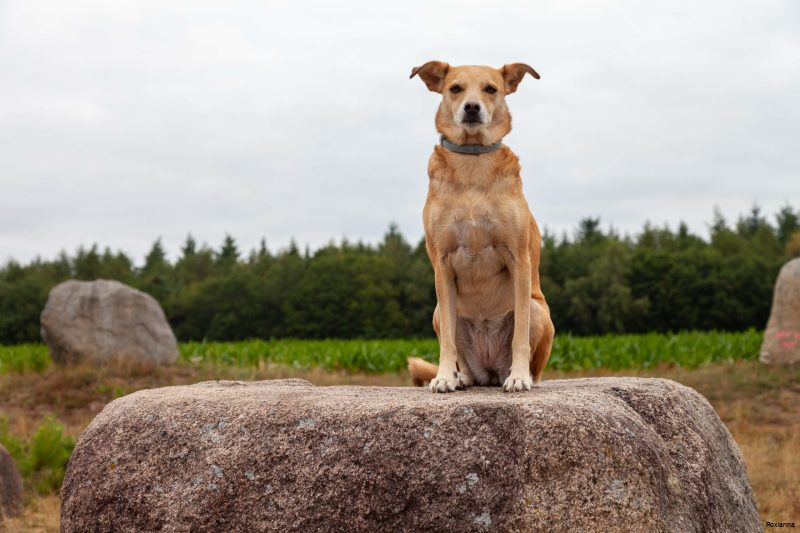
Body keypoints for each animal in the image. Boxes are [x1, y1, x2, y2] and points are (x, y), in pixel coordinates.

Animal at [406, 61, 555, 393]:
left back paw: (522, 375)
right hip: (438, 312)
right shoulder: (442, 263)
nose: (472, 107)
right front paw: (444, 377)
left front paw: (519, 377)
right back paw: (461, 377)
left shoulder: (519, 258)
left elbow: (519, 337)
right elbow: (447, 342)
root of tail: (489, 372)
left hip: (538, 310)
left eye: (490, 89)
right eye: (455, 88)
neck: (472, 161)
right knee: (462, 359)